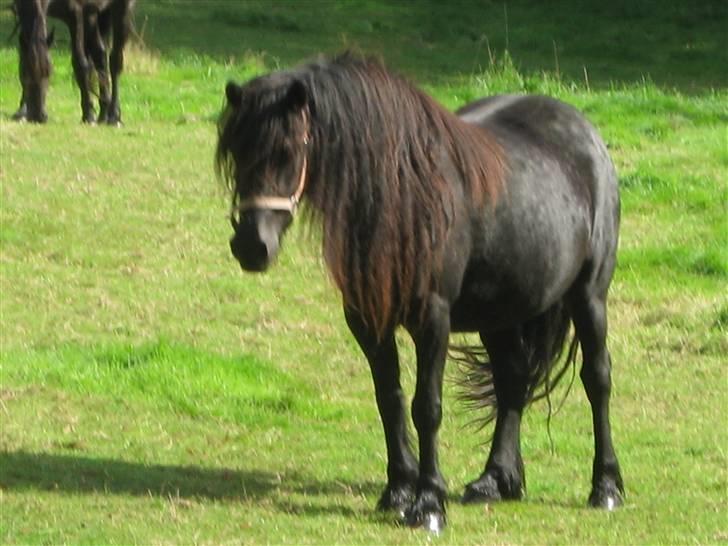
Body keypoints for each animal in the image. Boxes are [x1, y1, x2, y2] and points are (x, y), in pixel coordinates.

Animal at [215, 53, 624, 532]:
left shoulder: (433, 317)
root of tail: (584, 131)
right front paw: (397, 491)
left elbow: (426, 406)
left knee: (597, 379)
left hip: (589, 296)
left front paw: (428, 503)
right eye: (236, 151)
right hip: (501, 312)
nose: (251, 246)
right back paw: (496, 480)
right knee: (512, 380)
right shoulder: (366, 320)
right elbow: (389, 400)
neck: (402, 194)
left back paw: (606, 487)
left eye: (287, 150)